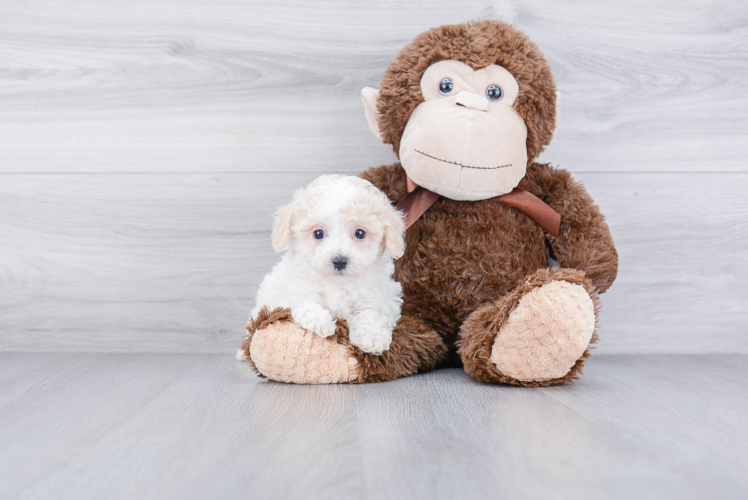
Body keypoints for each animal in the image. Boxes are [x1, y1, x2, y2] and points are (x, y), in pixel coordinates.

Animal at [244, 176, 404, 356]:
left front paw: (372, 336)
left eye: (360, 233)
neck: (338, 285)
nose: (340, 261)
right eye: (318, 233)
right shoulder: (291, 289)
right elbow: (304, 299)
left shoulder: (384, 297)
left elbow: (372, 313)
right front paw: (319, 321)